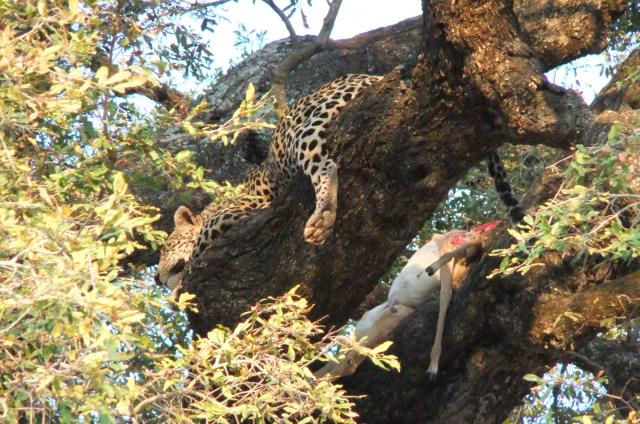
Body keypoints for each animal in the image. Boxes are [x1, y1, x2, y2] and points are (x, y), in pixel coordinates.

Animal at [156, 74, 524, 289]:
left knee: (326, 167)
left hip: (307, 128)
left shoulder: (239, 212)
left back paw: (322, 217)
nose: (158, 280)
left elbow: (200, 246)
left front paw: (180, 280)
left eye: (168, 247)